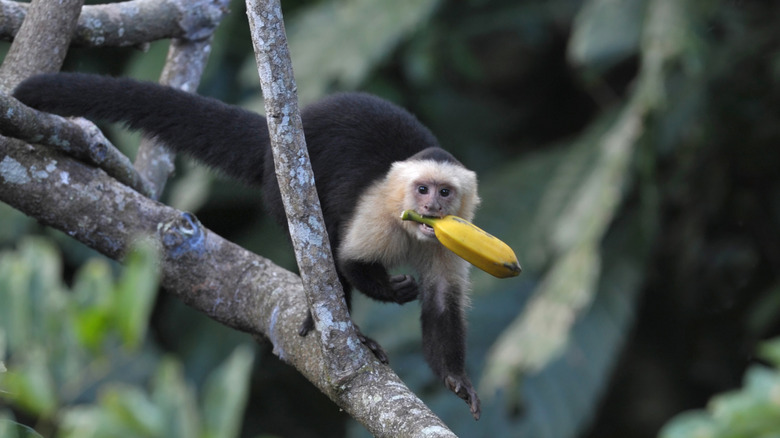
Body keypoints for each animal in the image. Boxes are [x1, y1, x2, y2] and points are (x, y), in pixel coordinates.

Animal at [13, 73, 482, 420]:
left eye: (444, 192)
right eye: (421, 189)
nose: (430, 207)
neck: (413, 232)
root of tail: (277, 137)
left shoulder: (453, 238)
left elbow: (443, 302)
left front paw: (455, 379)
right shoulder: (377, 215)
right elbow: (346, 260)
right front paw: (391, 291)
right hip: (282, 186)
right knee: (319, 242)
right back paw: (340, 326)